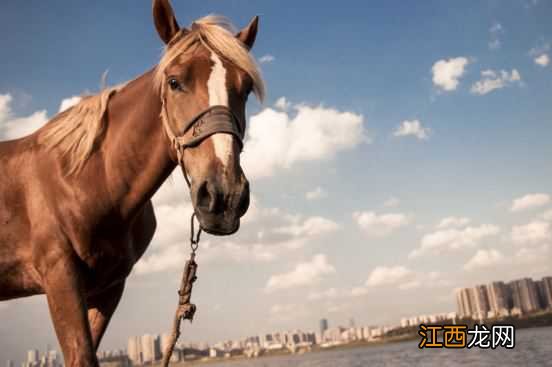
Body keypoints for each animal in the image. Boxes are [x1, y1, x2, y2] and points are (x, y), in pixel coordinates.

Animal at [0, 0, 266, 366]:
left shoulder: (108, 288)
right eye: (174, 81)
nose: (224, 197)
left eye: (246, 88)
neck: (87, 179)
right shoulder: (60, 277)